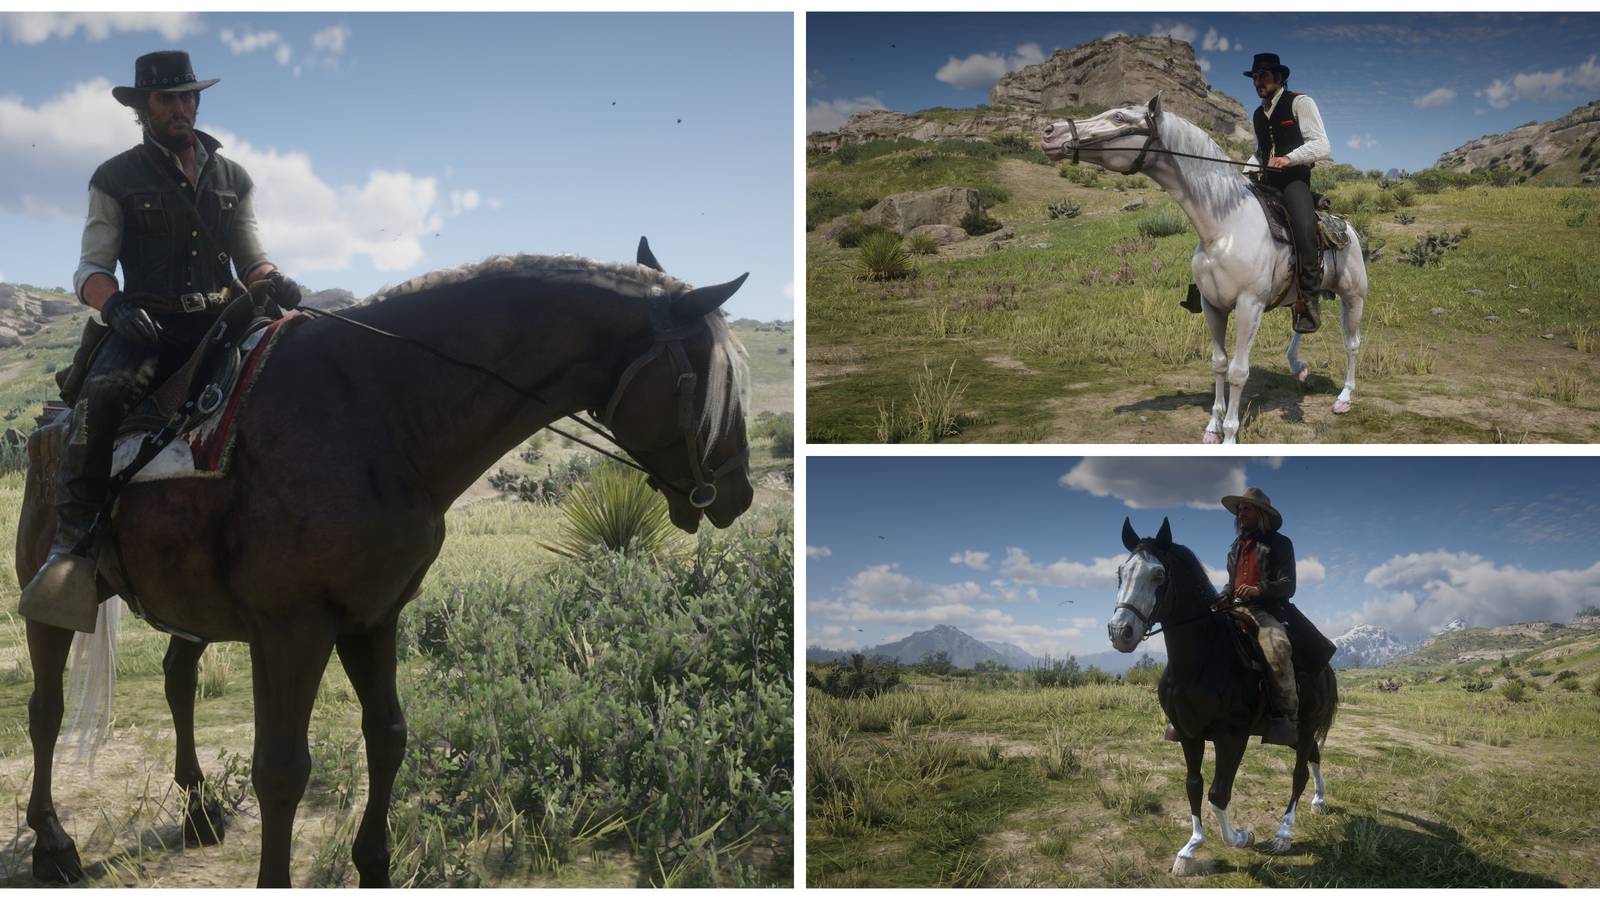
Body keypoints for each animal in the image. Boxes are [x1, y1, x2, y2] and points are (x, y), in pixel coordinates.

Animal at [15, 238, 755, 887]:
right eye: (710, 379)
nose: (738, 491)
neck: (380, 411)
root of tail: (56, 419)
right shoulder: (292, 628)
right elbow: (281, 769)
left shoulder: (374, 618)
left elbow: (388, 737)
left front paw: (376, 864)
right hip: (46, 600)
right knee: (46, 710)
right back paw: (54, 843)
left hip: (187, 606)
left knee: (177, 681)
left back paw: (199, 814)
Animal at [1040, 95, 1368, 444]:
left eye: (1118, 117)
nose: (1049, 132)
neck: (1223, 226)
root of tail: (1348, 227)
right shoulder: (1213, 306)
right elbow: (1219, 364)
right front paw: (1213, 426)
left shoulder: (1248, 306)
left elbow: (1238, 371)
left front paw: (1230, 434)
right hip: (1301, 296)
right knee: (1302, 322)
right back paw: (1298, 367)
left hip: (1353, 298)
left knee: (1352, 344)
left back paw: (1344, 398)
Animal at [1108, 517, 1337, 875]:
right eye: (1121, 572)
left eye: (1158, 575)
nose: (1121, 632)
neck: (1201, 660)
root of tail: (1326, 669)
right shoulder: (1189, 734)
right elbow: (1194, 786)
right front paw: (1190, 850)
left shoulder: (1232, 737)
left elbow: (1218, 794)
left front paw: (1242, 837)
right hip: (1296, 734)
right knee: (1314, 754)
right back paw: (1319, 801)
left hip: (1306, 725)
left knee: (1299, 773)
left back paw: (1284, 833)